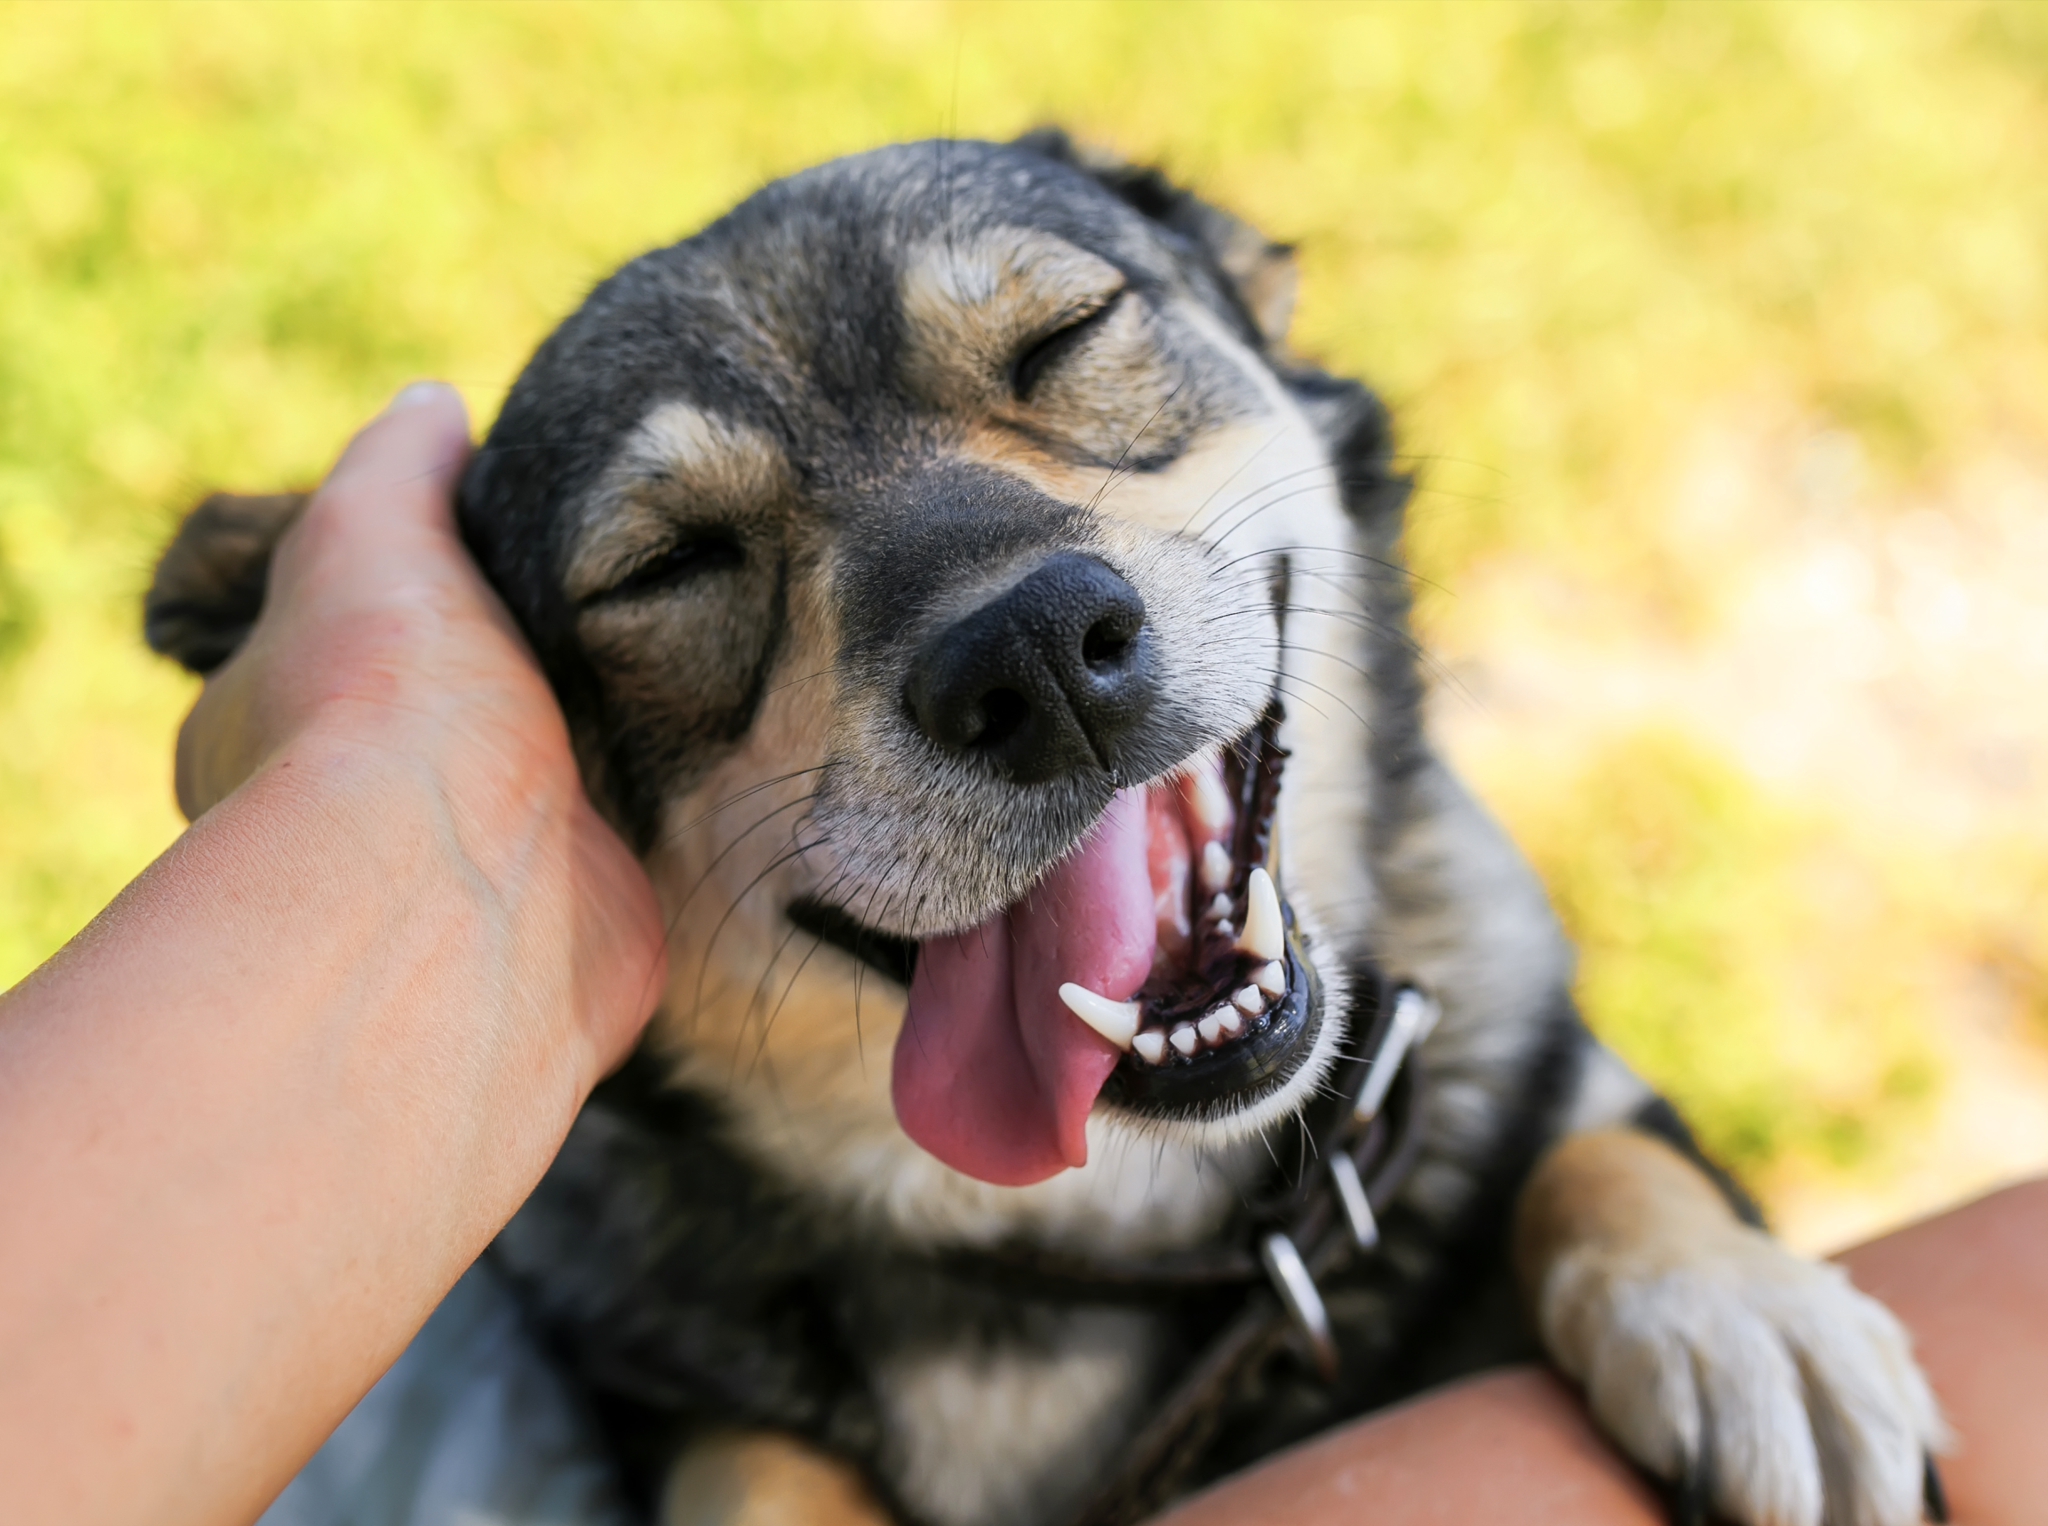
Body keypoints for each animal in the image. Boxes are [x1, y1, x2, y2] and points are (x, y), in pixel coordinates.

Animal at [151, 131, 1941, 1523]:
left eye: (1067, 336)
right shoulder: (661, 1378)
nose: (1030, 657)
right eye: (666, 567)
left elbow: (1598, 1149)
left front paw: (1736, 1310)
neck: (1122, 1220)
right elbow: (754, 1458)